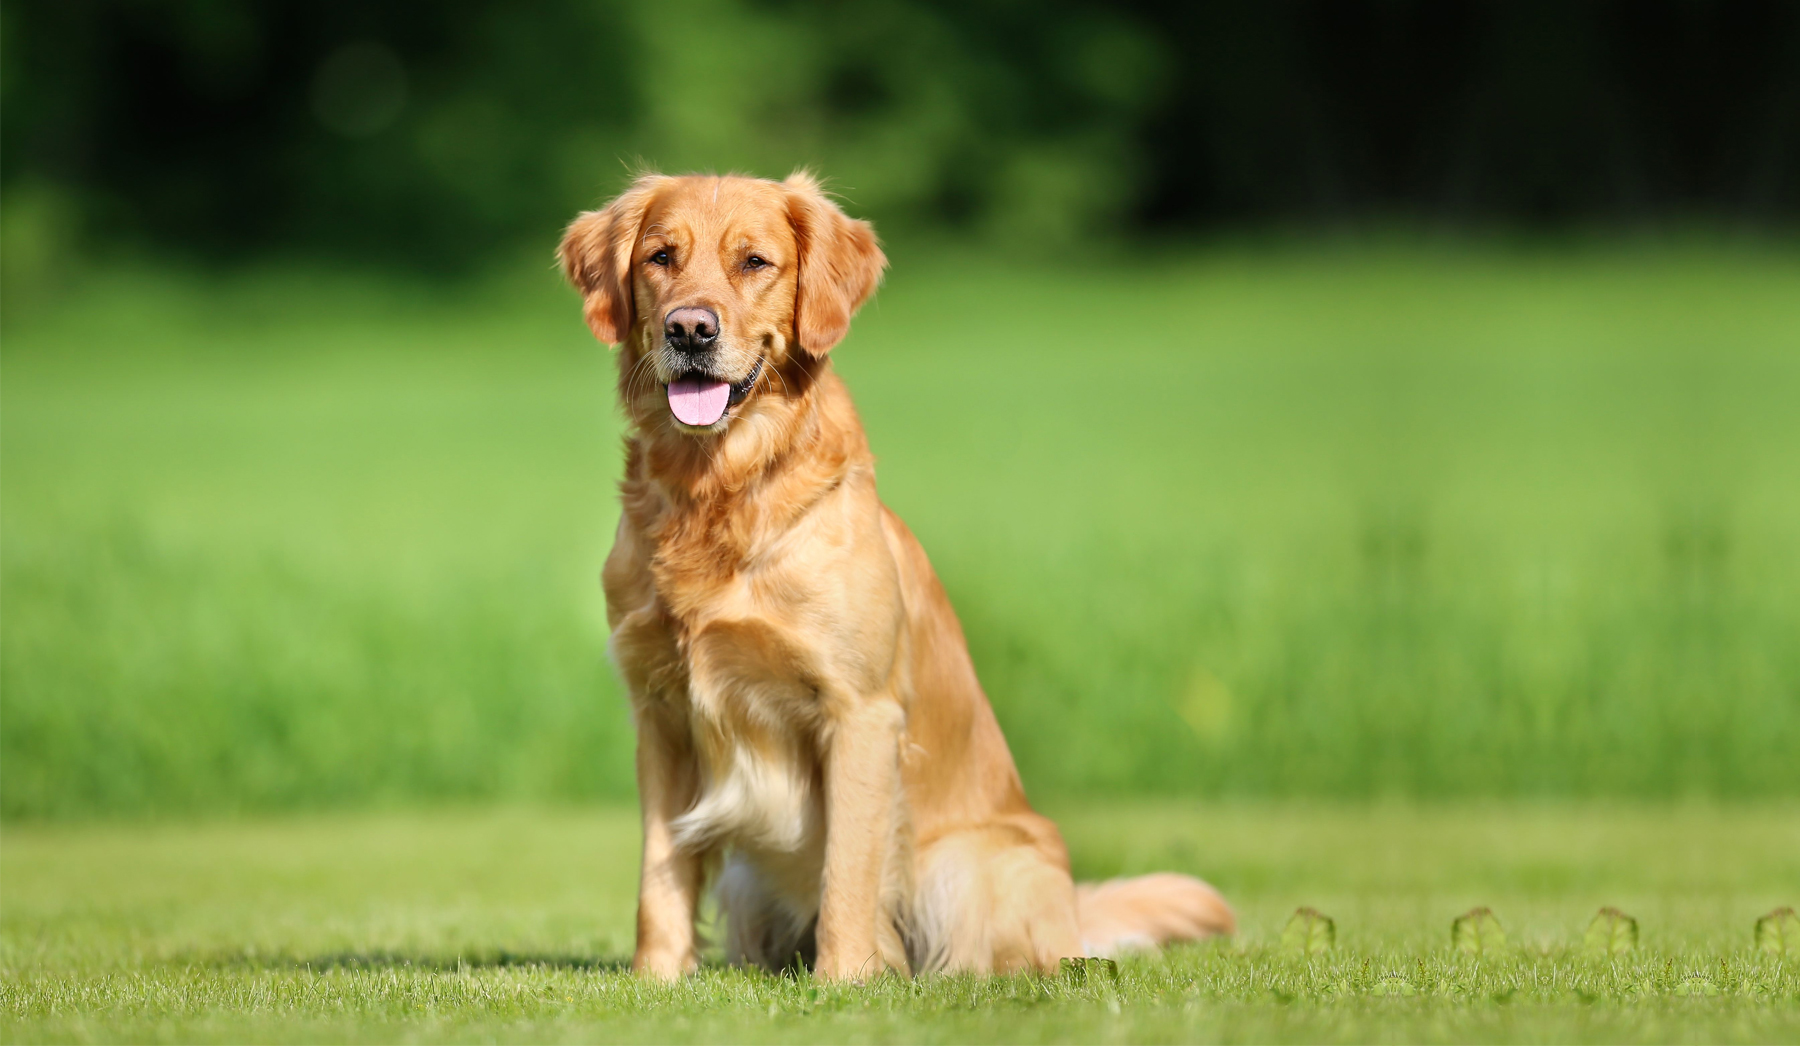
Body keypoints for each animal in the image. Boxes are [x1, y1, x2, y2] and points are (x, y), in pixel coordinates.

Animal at [558, 171, 1238, 979]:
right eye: (660, 257)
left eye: (754, 262)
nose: (689, 330)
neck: (717, 490)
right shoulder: (661, 713)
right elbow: (660, 876)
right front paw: (656, 980)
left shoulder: (859, 712)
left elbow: (848, 871)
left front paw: (844, 980)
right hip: (750, 880)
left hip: (973, 867)